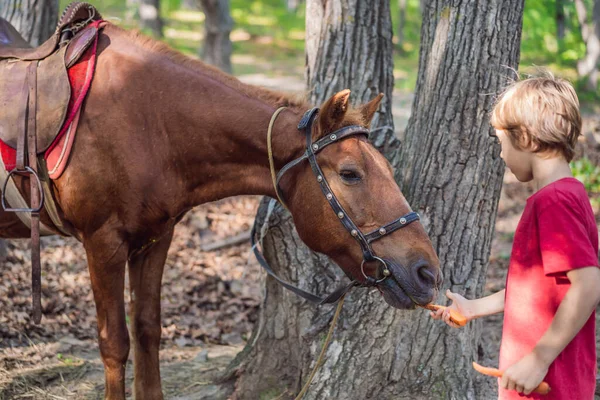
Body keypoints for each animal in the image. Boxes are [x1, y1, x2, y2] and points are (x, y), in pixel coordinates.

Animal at [0, 22, 440, 400]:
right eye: (350, 173)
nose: (428, 273)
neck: (148, 122)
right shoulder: (103, 243)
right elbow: (115, 344)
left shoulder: (155, 240)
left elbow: (147, 330)